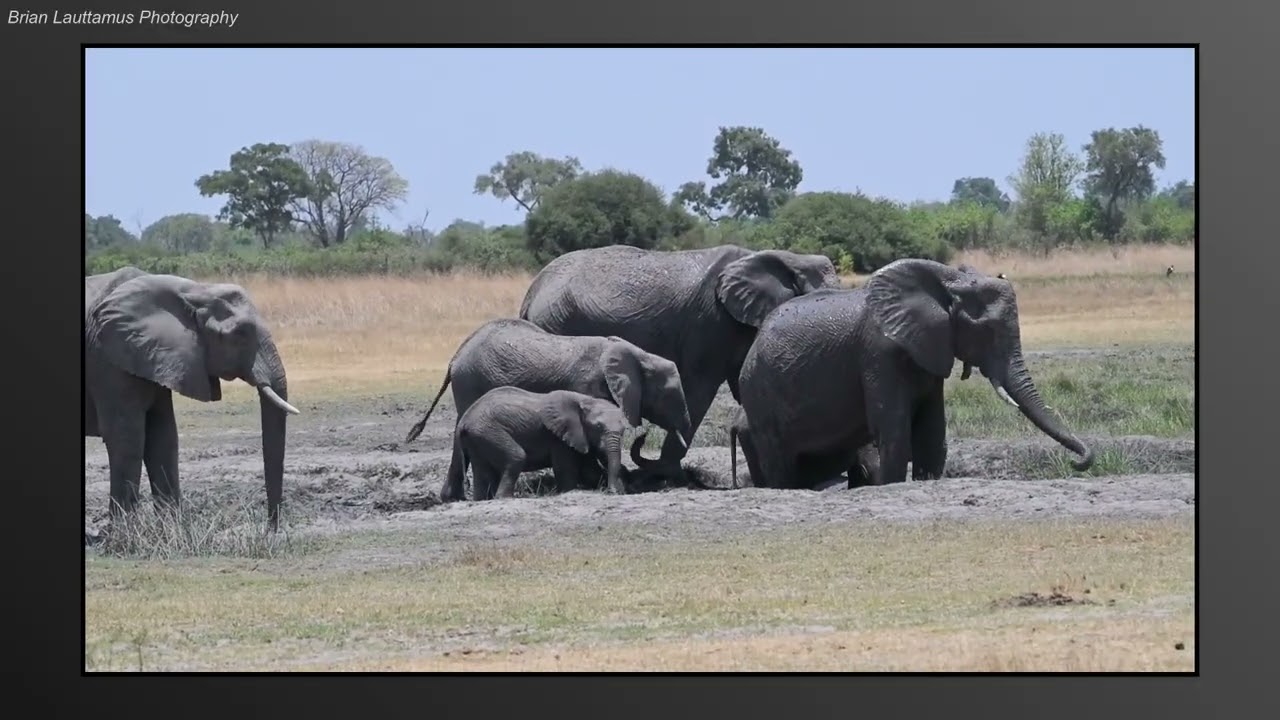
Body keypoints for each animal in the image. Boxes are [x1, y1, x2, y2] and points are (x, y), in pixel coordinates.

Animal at [84, 267, 298, 530]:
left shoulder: (156, 358)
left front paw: (171, 531)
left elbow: (163, 436)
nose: (269, 530)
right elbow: (127, 438)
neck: (193, 290)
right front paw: (126, 535)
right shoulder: (108, 361)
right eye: (239, 334)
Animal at [443, 386, 632, 501]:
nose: (612, 492)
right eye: (597, 427)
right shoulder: (559, 436)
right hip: (488, 431)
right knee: (516, 457)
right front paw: (567, 491)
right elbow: (566, 468)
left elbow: (589, 470)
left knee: (483, 471)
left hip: (477, 437)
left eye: (624, 430)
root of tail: (464, 421)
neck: (584, 400)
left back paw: (483, 500)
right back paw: (505, 498)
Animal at [517, 244, 841, 480]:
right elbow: (699, 386)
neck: (787, 258)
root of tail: (532, 291)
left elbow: (743, 387)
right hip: (558, 323)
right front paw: (669, 474)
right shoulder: (711, 320)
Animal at [732, 258, 1093, 490]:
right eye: (987, 331)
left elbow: (932, 434)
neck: (948, 281)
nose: (1079, 462)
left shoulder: (930, 353)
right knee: (779, 462)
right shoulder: (878, 354)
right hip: (760, 395)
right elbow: (893, 430)